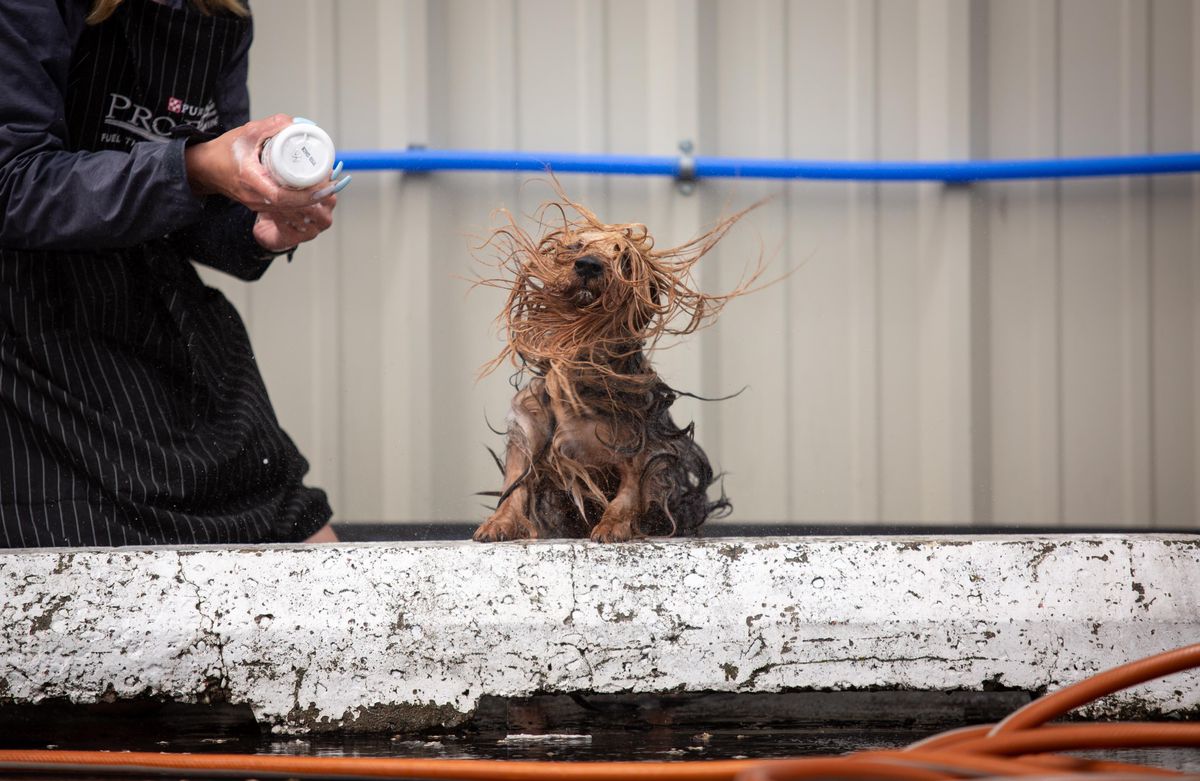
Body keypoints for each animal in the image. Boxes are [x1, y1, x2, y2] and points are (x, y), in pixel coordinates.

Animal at [470, 191, 758, 539]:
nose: (588, 265)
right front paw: (498, 523)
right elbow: (515, 484)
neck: (582, 377)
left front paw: (612, 526)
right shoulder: (530, 431)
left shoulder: (640, 446)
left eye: (625, 259)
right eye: (576, 246)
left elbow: (629, 493)